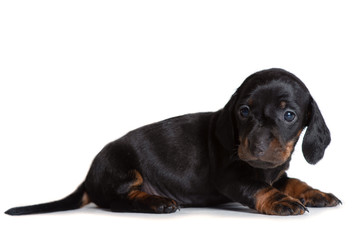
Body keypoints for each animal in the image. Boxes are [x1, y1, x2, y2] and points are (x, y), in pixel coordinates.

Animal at [7, 68, 342, 216]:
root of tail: (88, 179)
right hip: (123, 168)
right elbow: (260, 188)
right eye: (244, 111)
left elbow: (292, 180)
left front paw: (315, 193)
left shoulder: (276, 172)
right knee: (119, 202)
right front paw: (282, 201)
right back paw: (157, 202)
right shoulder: (231, 177)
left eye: (289, 115)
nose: (256, 148)